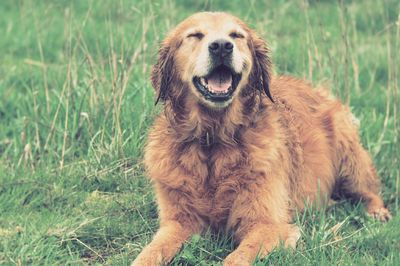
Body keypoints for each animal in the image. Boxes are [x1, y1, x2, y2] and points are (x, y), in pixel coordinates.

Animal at [131, 12, 390, 266]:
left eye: (236, 35)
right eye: (195, 35)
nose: (222, 46)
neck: (213, 139)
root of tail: (317, 89)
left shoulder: (268, 226)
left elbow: (235, 259)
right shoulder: (178, 222)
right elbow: (149, 253)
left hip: (349, 156)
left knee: (370, 191)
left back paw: (377, 213)